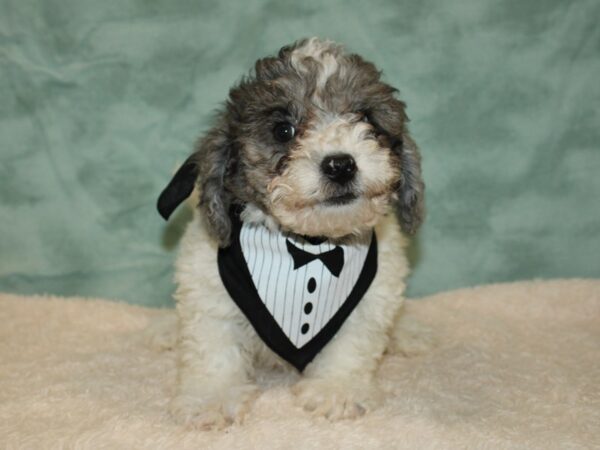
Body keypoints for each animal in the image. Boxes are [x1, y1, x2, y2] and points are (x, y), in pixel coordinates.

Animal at [157, 37, 424, 428]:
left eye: (366, 118)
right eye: (283, 130)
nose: (340, 164)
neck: (312, 248)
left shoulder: (370, 298)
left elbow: (352, 346)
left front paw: (337, 389)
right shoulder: (209, 291)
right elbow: (213, 347)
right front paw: (211, 397)